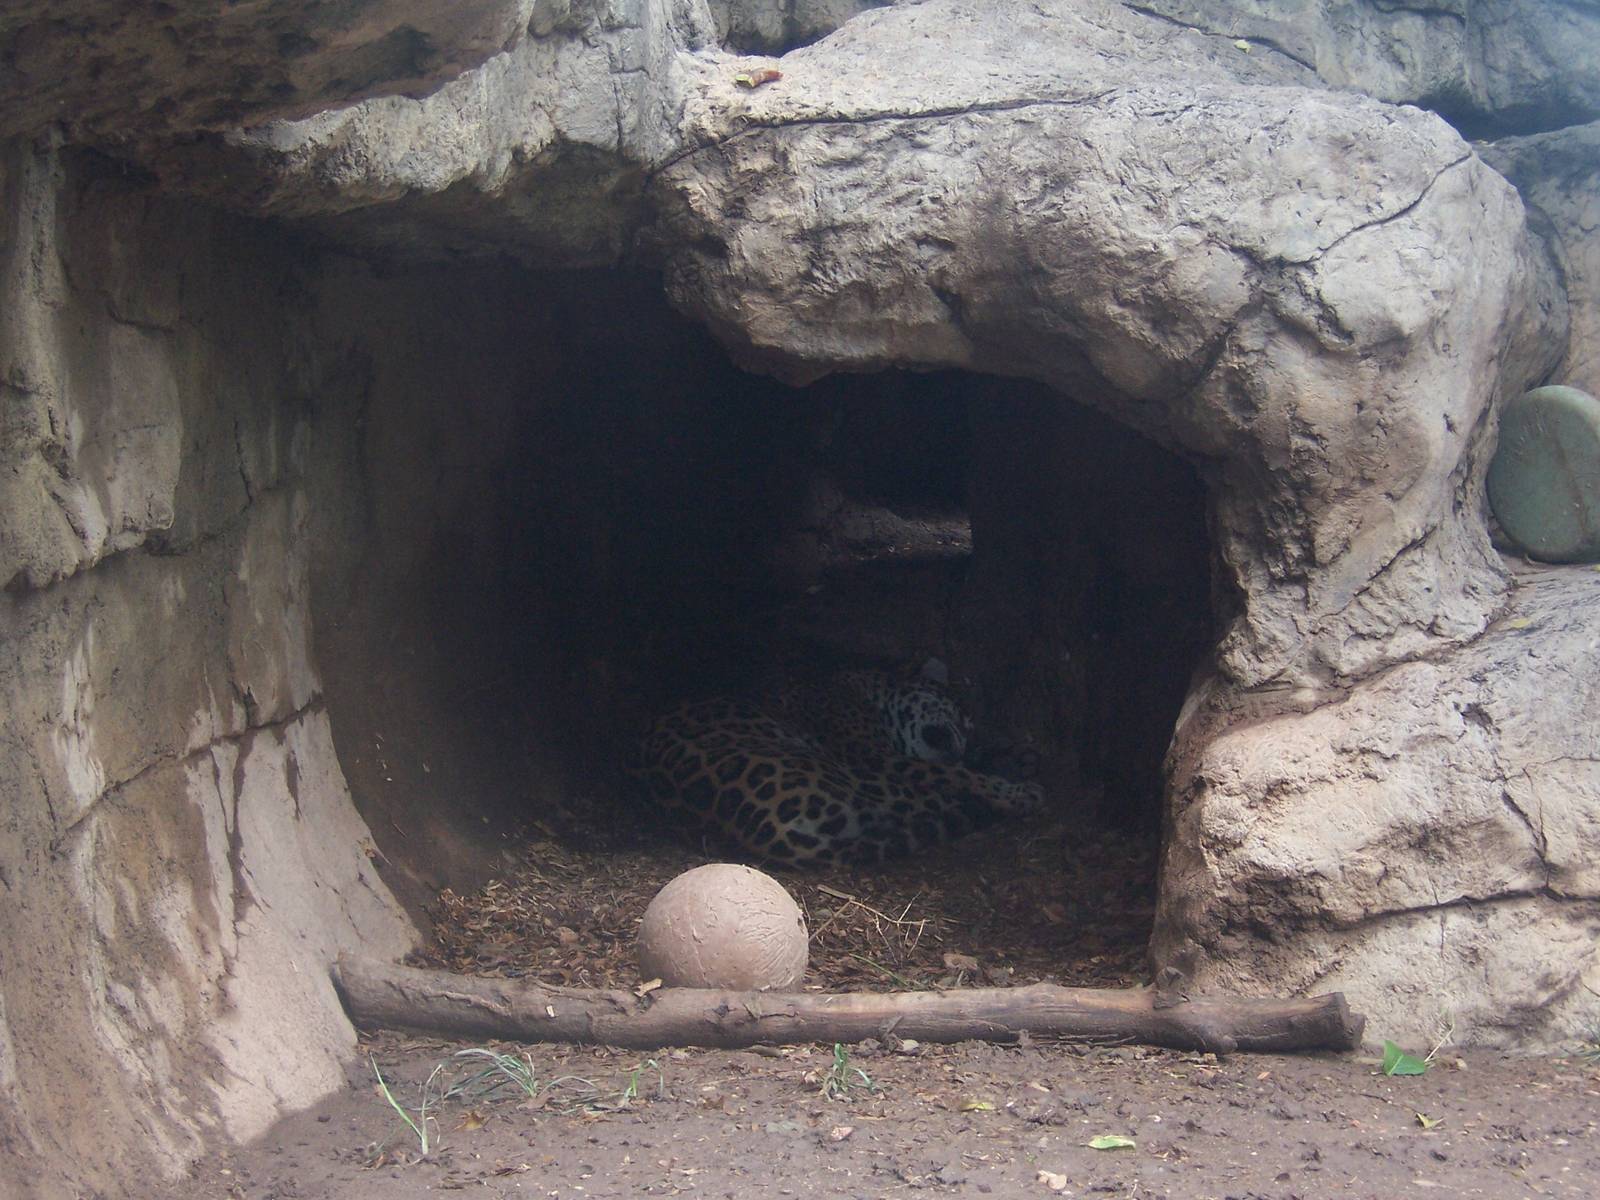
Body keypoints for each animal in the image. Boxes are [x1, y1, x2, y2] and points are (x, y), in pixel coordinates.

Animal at [631, 670, 1043, 867]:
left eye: (972, 731)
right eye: (961, 714)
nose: (968, 744)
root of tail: (766, 830)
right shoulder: (877, 756)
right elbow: (957, 775)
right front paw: (1020, 791)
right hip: (855, 775)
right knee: (931, 798)